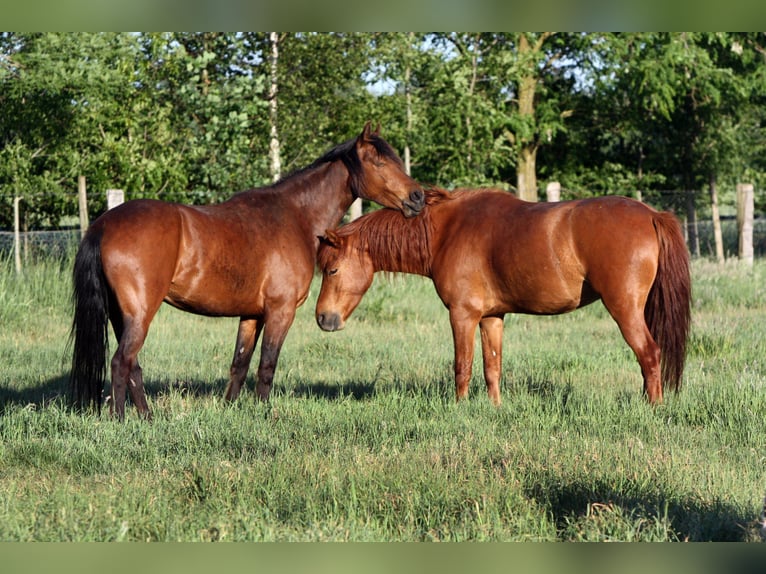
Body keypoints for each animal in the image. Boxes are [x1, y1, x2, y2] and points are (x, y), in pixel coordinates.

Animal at [71, 124, 426, 418]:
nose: (418, 197)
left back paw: (148, 418)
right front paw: (265, 414)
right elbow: (267, 365)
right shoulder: (280, 311)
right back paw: (121, 420)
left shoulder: (251, 315)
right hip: (140, 314)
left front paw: (231, 410)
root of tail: (103, 225)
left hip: (122, 316)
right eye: (379, 163)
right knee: (122, 363)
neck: (295, 216)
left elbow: (239, 364)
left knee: (133, 366)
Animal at [316, 188, 692, 404]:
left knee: (649, 354)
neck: (446, 232)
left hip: (624, 309)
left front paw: (459, 409)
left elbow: (462, 366)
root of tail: (651, 215)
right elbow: (491, 367)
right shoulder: (491, 317)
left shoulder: (462, 314)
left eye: (331, 270)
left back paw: (652, 408)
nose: (323, 318)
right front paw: (494, 408)